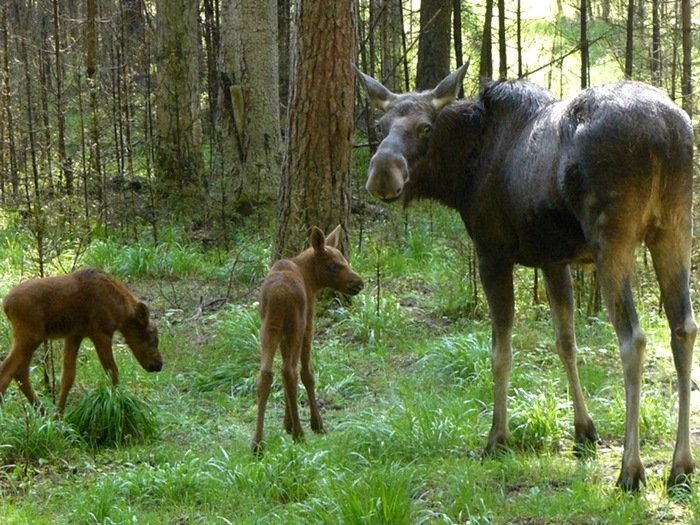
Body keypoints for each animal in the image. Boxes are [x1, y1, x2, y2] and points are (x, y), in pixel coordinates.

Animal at [0, 266, 161, 414]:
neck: (120, 311)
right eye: (152, 339)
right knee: (7, 371)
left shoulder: (75, 335)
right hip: (30, 336)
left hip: (26, 338)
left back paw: (43, 413)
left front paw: (59, 417)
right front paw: (117, 402)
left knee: (20, 372)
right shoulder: (101, 332)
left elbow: (68, 378)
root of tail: (6, 305)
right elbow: (113, 371)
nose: (159, 364)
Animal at [252, 223, 364, 452]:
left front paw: (286, 423)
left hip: (269, 329)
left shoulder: (282, 335)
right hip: (296, 325)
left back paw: (257, 443)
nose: (359, 283)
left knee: (266, 374)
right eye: (335, 265)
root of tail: (279, 295)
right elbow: (308, 373)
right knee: (290, 371)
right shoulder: (308, 325)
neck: (311, 281)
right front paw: (315, 423)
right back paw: (300, 434)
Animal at [356, 64, 696, 492]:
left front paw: (497, 437)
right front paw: (584, 430)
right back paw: (681, 465)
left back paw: (630, 470)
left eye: (426, 128)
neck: (461, 175)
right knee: (683, 327)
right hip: (675, 226)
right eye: (380, 125)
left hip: (613, 238)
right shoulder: (554, 259)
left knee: (632, 338)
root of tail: (666, 133)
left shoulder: (492, 253)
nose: (382, 175)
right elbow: (566, 342)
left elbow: (500, 352)